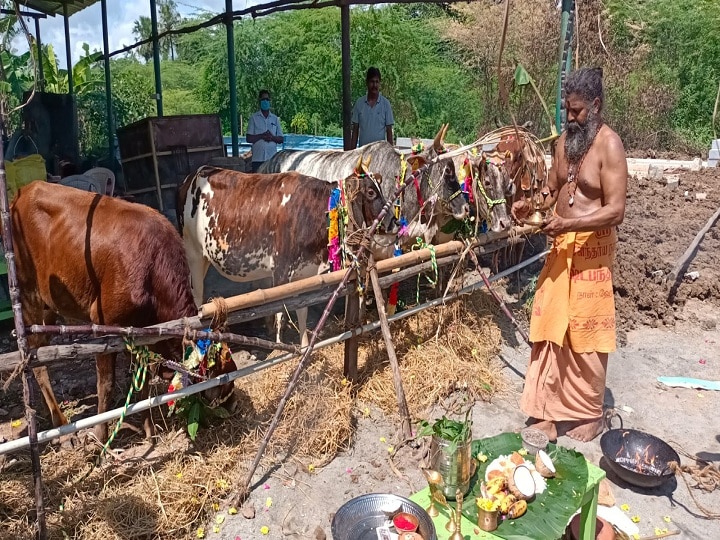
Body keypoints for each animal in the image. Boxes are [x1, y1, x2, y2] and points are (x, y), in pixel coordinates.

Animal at [9, 181, 233, 442]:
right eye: (222, 377)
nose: (233, 403)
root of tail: (26, 189)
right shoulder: (103, 323)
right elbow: (105, 384)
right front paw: (100, 435)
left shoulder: (140, 332)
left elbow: (142, 380)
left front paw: (149, 429)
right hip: (27, 295)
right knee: (36, 361)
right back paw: (63, 427)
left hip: (48, 306)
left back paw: (54, 420)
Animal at [179, 162, 394, 346]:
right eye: (371, 192)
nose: (393, 222)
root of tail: (196, 172)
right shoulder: (281, 271)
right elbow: (280, 312)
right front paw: (279, 347)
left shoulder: (304, 272)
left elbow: (302, 309)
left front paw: (304, 345)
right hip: (193, 252)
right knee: (197, 295)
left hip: (206, 257)